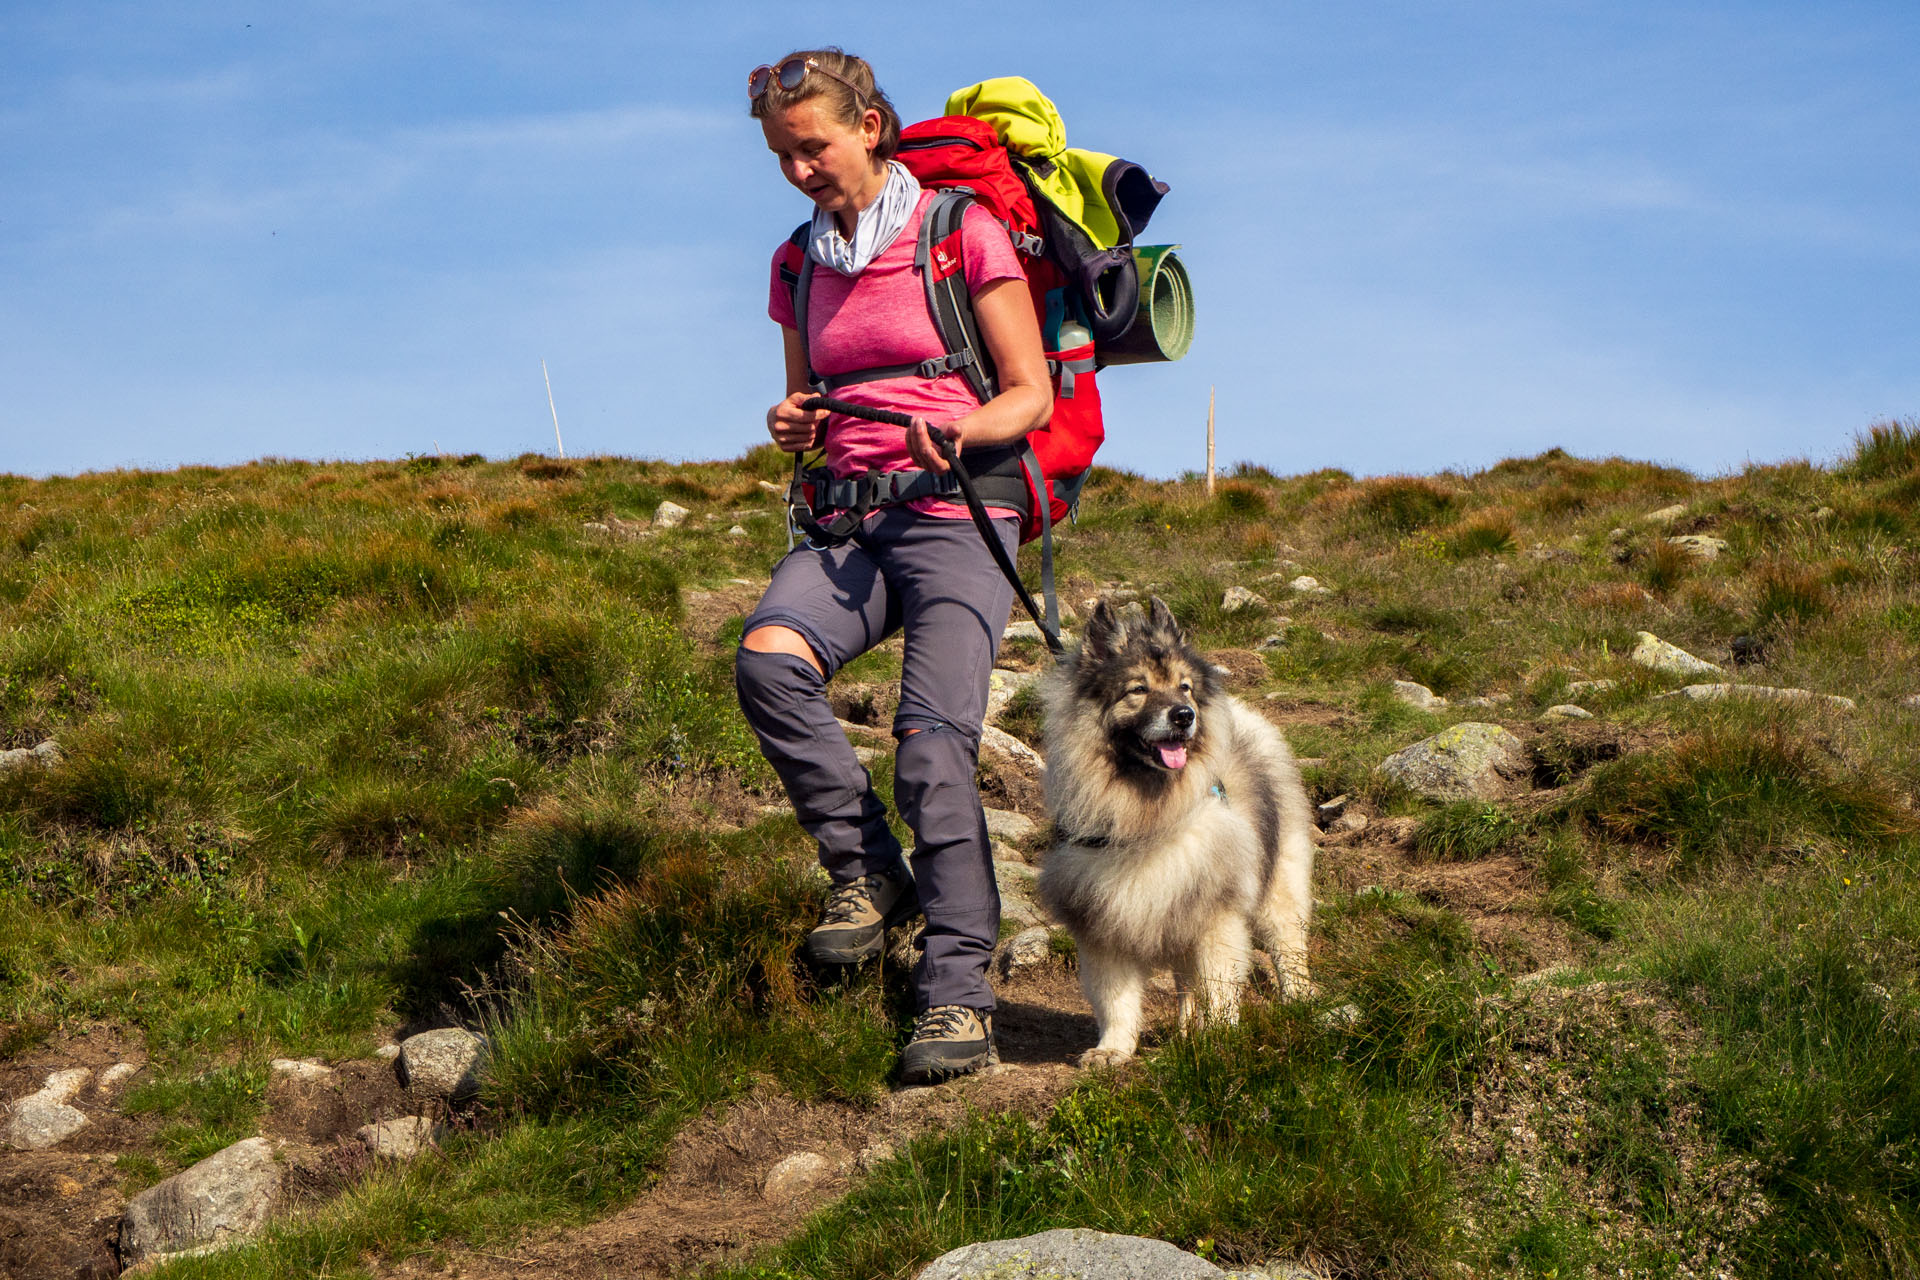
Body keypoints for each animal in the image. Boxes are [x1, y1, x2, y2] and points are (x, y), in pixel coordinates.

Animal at [1036, 602, 1320, 1074]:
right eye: (1138, 689)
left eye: (1184, 688)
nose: (1184, 716)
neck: (1148, 818)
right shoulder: (1104, 926)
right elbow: (1116, 1001)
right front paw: (1113, 1050)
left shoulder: (1217, 916)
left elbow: (1220, 987)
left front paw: (1222, 1038)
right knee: (1187, 983)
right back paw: (1188, 1033)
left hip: (1277, 887)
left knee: (1289, 949)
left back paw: (1299, 1000)